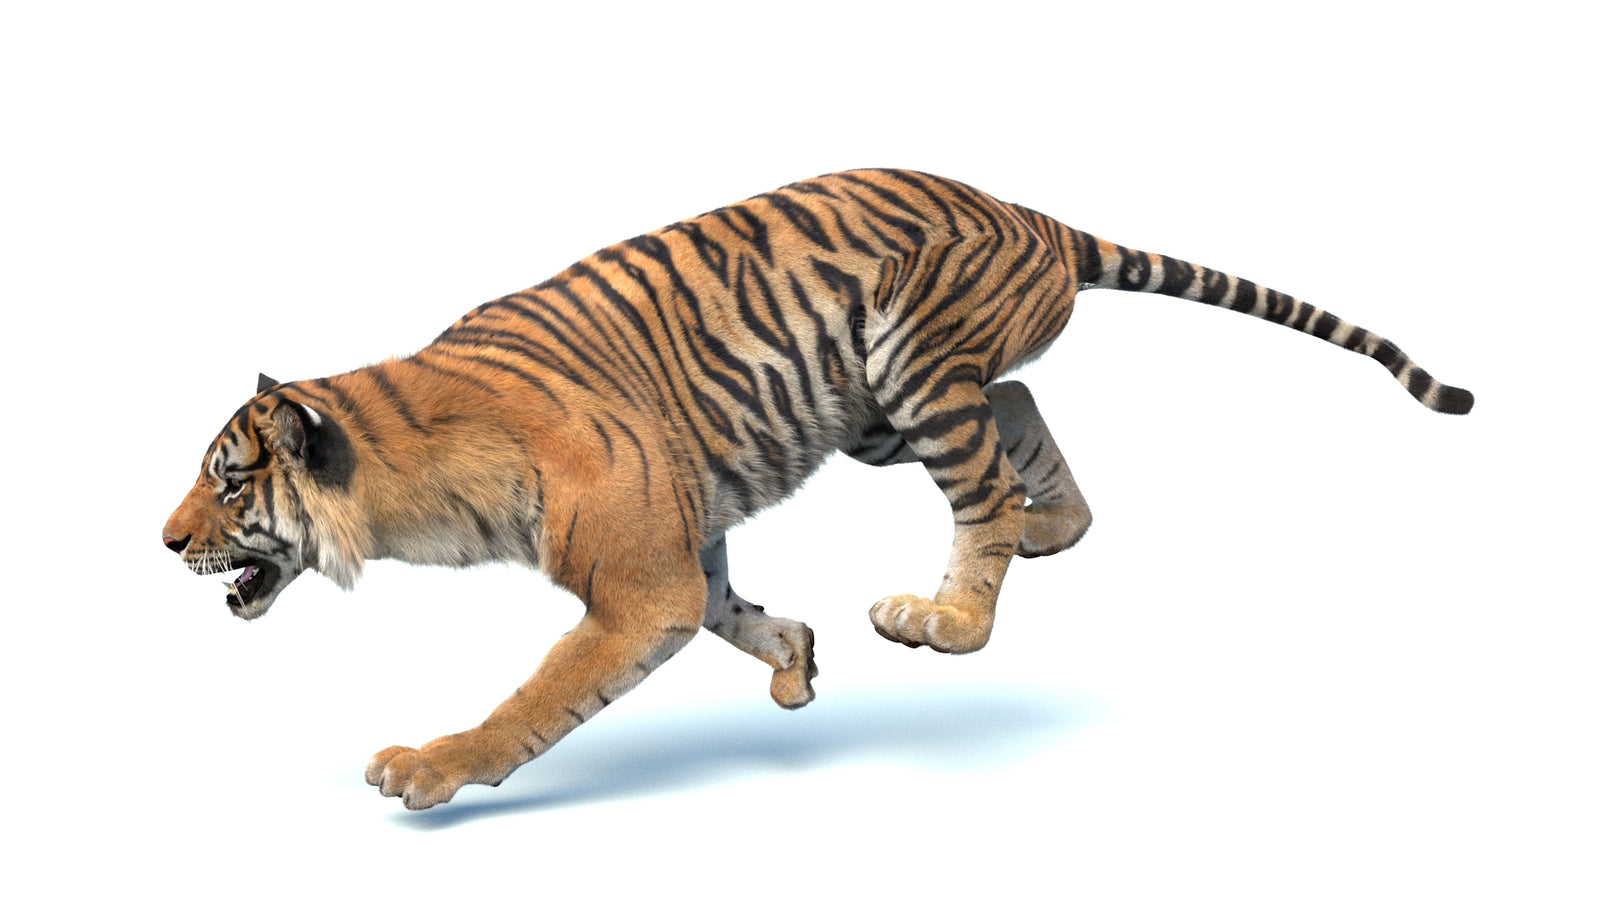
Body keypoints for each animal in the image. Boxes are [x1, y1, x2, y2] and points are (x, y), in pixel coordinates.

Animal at [162, 169, 1472, 810]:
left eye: (228, 487)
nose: (163, 542)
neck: (402, 476)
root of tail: (1038, 215)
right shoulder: (684, 547)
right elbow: (732, 613)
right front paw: (793, 663)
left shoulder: (638, 581)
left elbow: (537, 699)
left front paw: (428, 769)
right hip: (885, 412)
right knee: (1022, 417)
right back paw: (1047, 532)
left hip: (911, 368)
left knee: (984, 496)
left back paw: (945, 619)